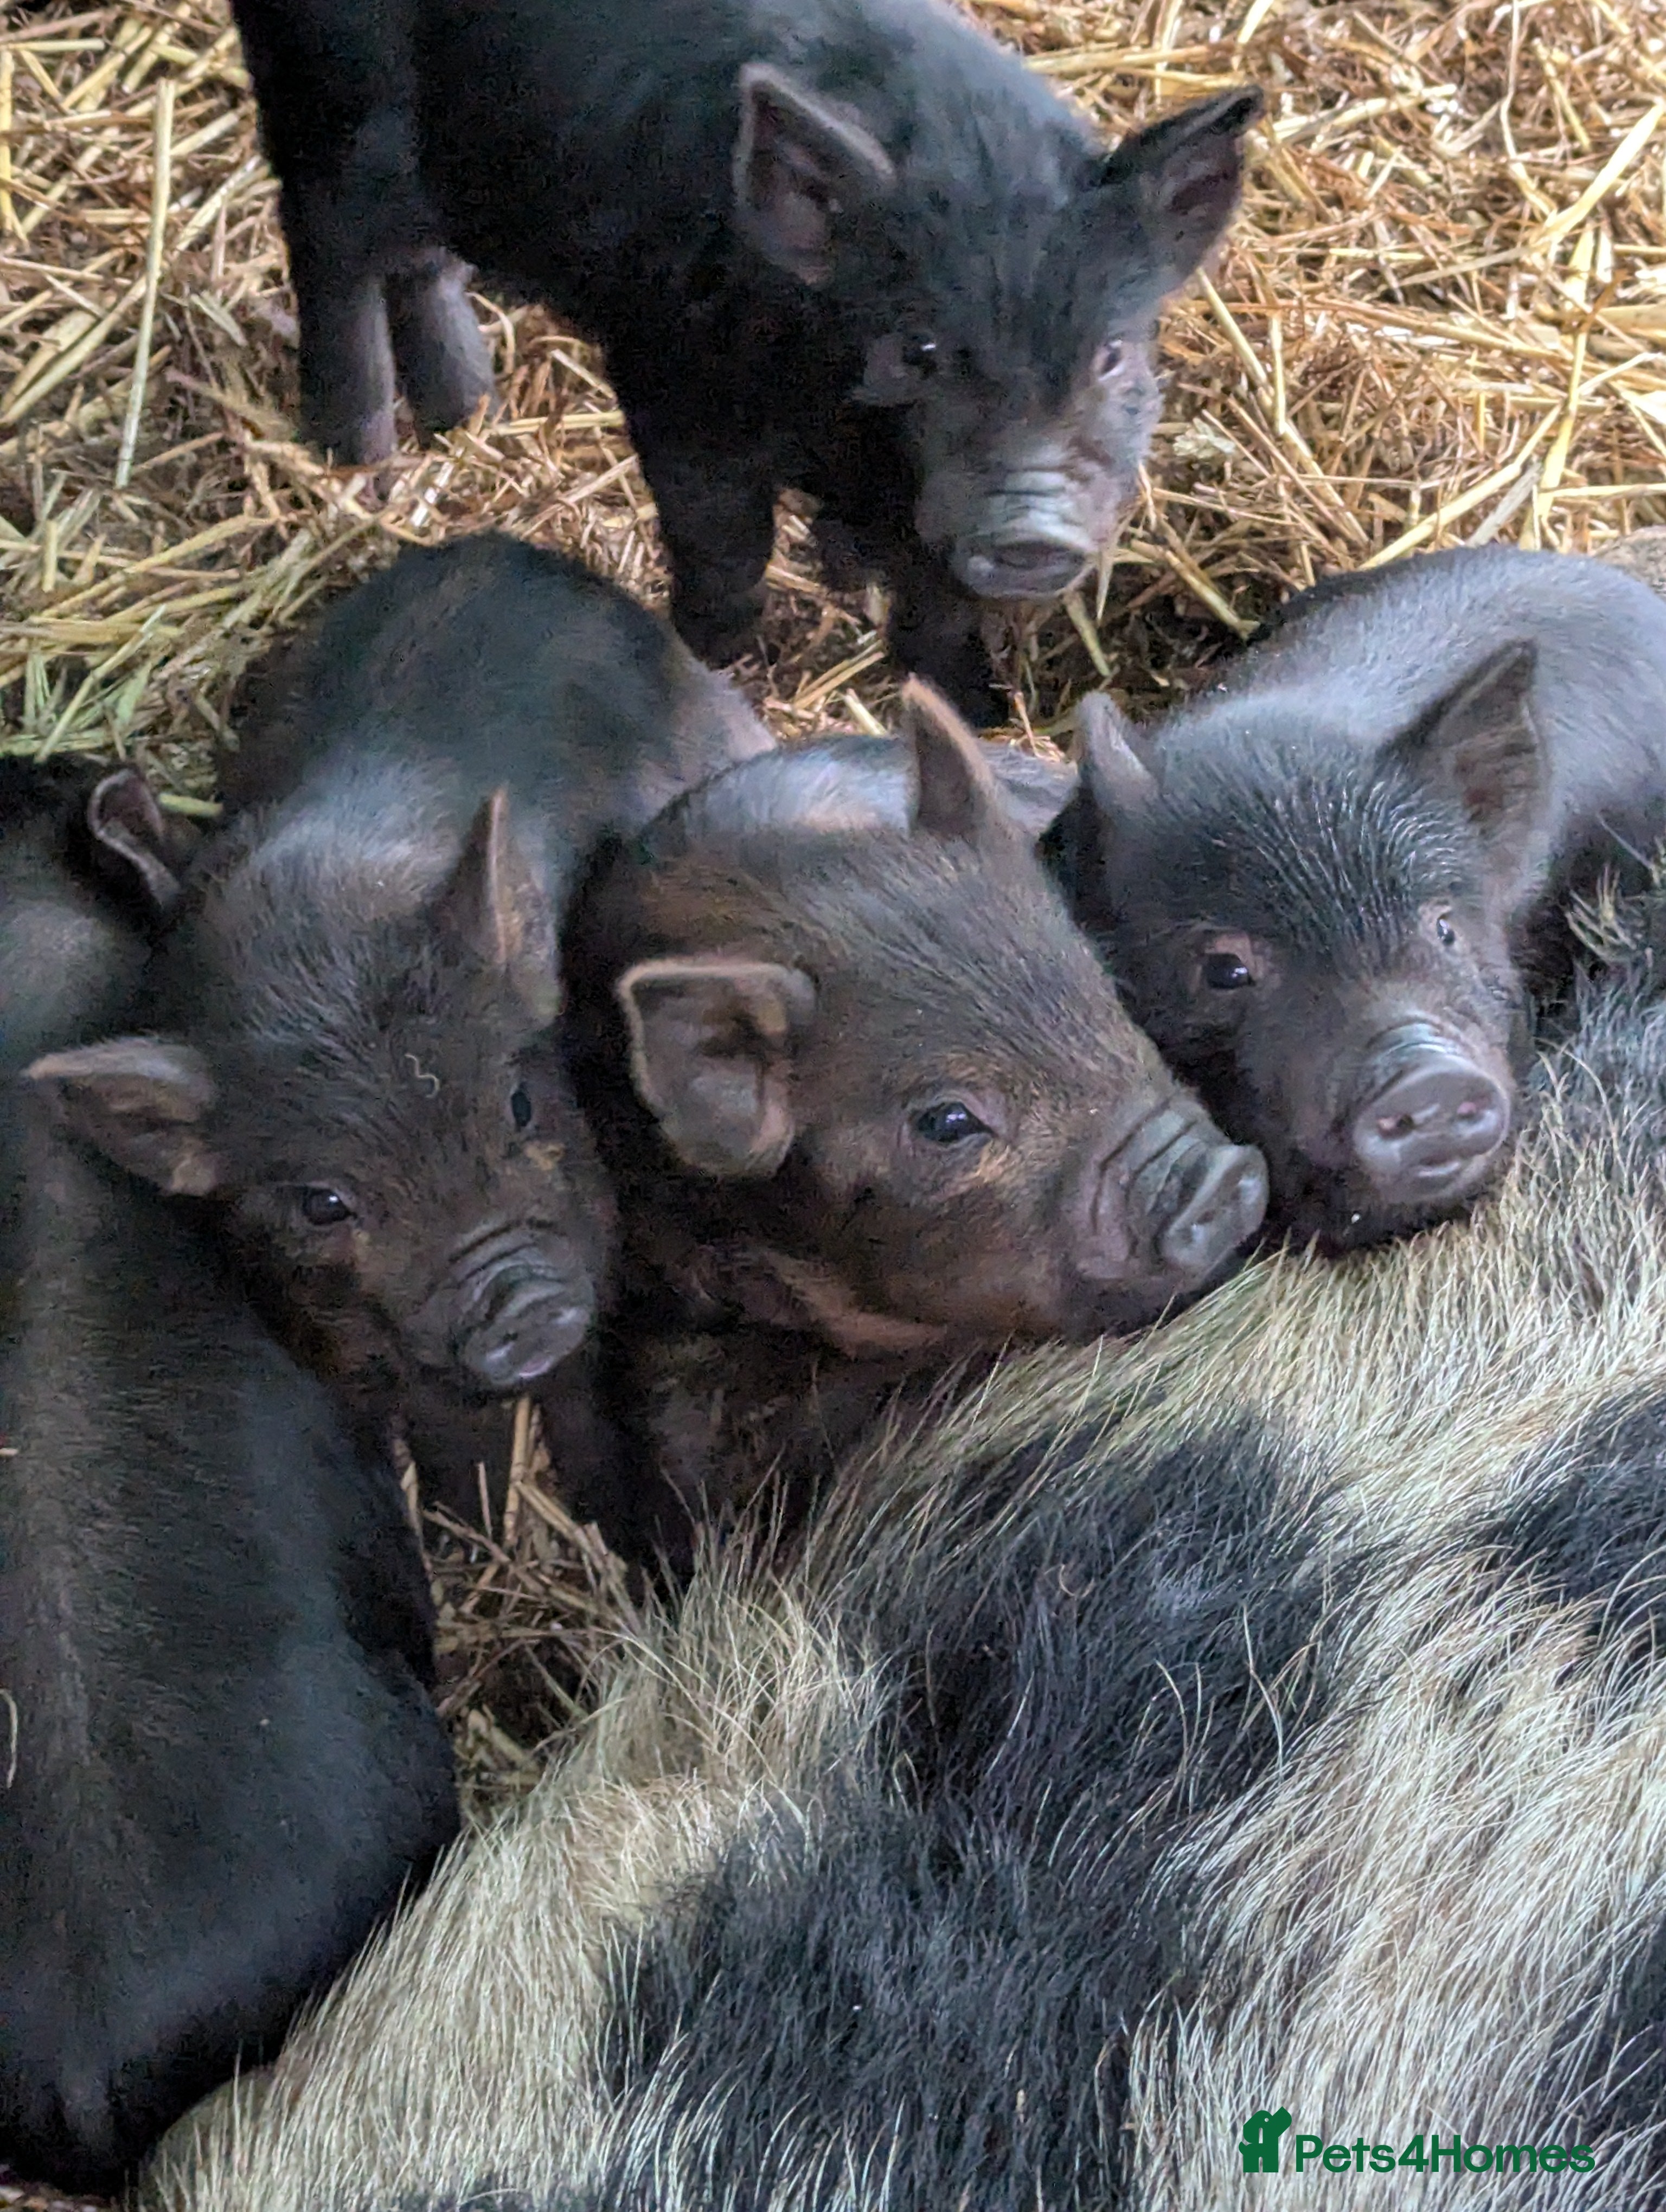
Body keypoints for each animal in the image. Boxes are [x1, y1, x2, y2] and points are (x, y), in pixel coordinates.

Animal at [25, 534, 774, 1510]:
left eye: (519, 1105)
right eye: (323, 1203)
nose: (521, 1301)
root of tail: (515, 550)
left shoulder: (591, 1218)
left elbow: (584, 1390)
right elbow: (444, 1429)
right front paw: (472, 1514)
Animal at [223, 0, 1262, 720]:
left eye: (1111, 354)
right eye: (919, 348)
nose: (1033, 522)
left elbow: (934, 606)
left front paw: (971, 708)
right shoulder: (674, 383)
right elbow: (723, 544)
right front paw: (724, 668)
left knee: (421, 264)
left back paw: (468, 411)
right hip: (327, 116)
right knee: (327, 251)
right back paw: (361, 456)